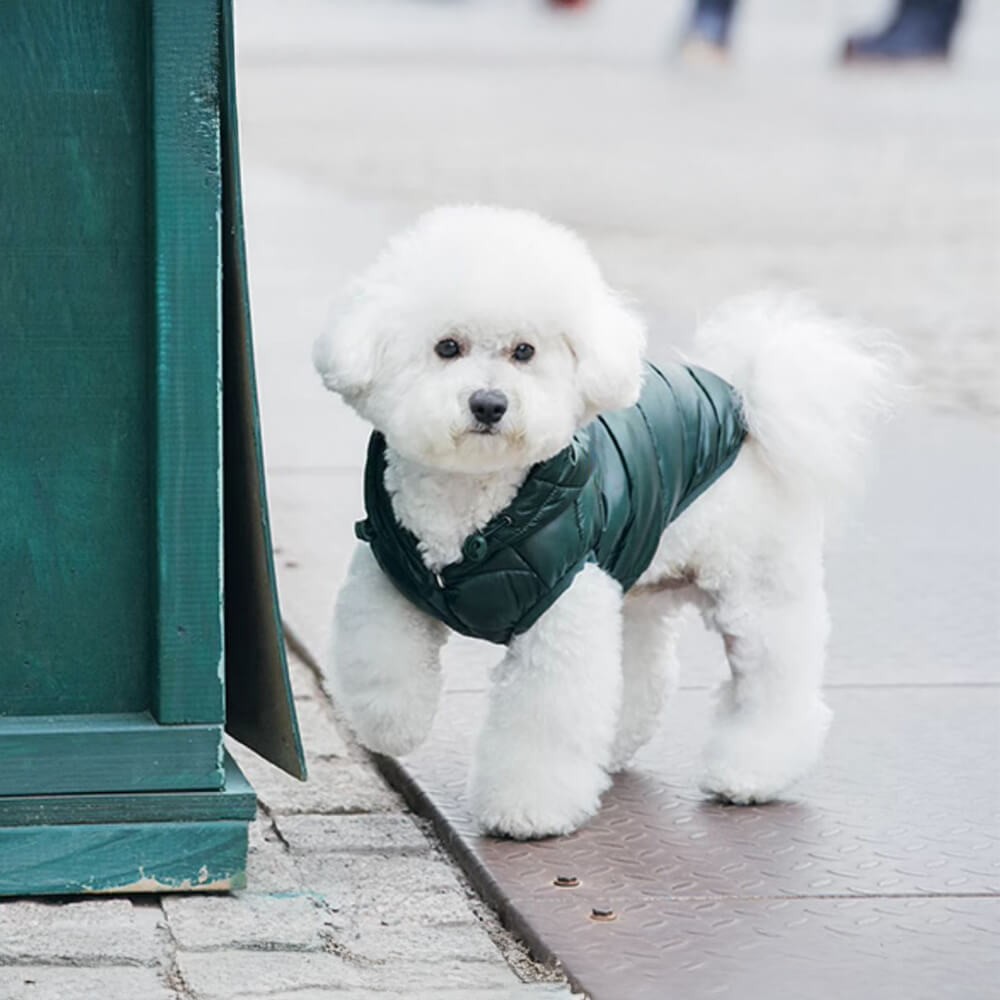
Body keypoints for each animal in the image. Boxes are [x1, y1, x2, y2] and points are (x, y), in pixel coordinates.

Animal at [310, 207, 892, 840]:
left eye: (524, 351)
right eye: (447, 347)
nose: (489, 404)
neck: (476, 501)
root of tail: (744, 408)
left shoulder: (562, 609)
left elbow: (543, 720)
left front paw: (527, 811)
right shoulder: (390, 572)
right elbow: (382, 657)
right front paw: (393, 726)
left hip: (755, 587)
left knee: (774, 681)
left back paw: (751, 772)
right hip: (633, 580)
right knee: (644, 671)